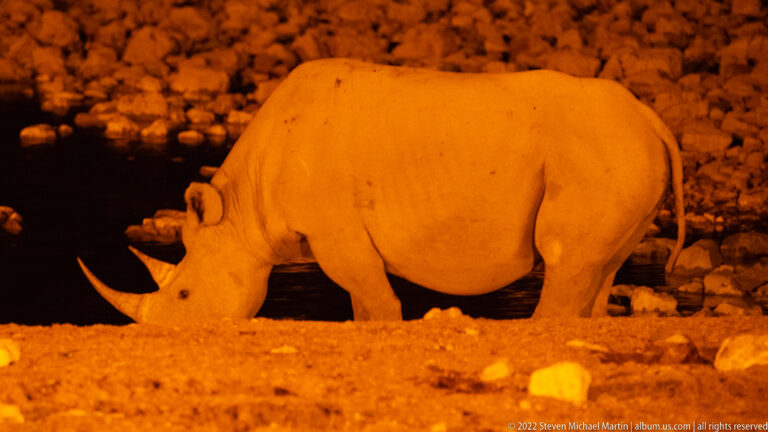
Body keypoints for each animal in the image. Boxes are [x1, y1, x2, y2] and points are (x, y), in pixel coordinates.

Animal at [78, 58, 685, 323]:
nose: (165, 334)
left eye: (183, 297)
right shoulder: (332, 232)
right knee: (600, 267)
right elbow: (360, 303)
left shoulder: (334, 228)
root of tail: (650, 118)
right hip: (621, 156)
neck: (241, 210)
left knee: (563, 259)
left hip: (598, 153)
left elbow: (375, 301)